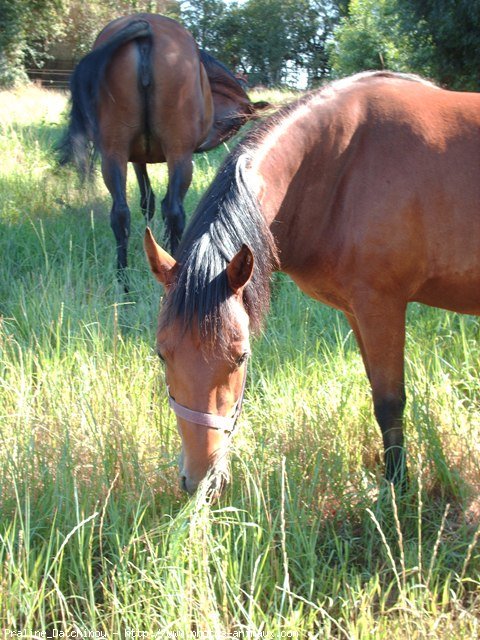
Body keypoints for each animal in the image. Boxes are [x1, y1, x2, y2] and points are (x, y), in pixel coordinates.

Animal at [59, 13, 268, 278]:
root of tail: (146, 27)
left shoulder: (136, 158)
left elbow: (146, 201)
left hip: (114, 151)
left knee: (120, 213)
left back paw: (123, 279)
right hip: (179, 153)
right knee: (173, 210)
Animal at [143, 72, 480, 498]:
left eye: (241, 357)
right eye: (162, 355)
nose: (201, 482)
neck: (341, 163)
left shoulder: (382, 307)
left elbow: (390, 402)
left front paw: (398, 490)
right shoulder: (357, 312)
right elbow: (377, 393)